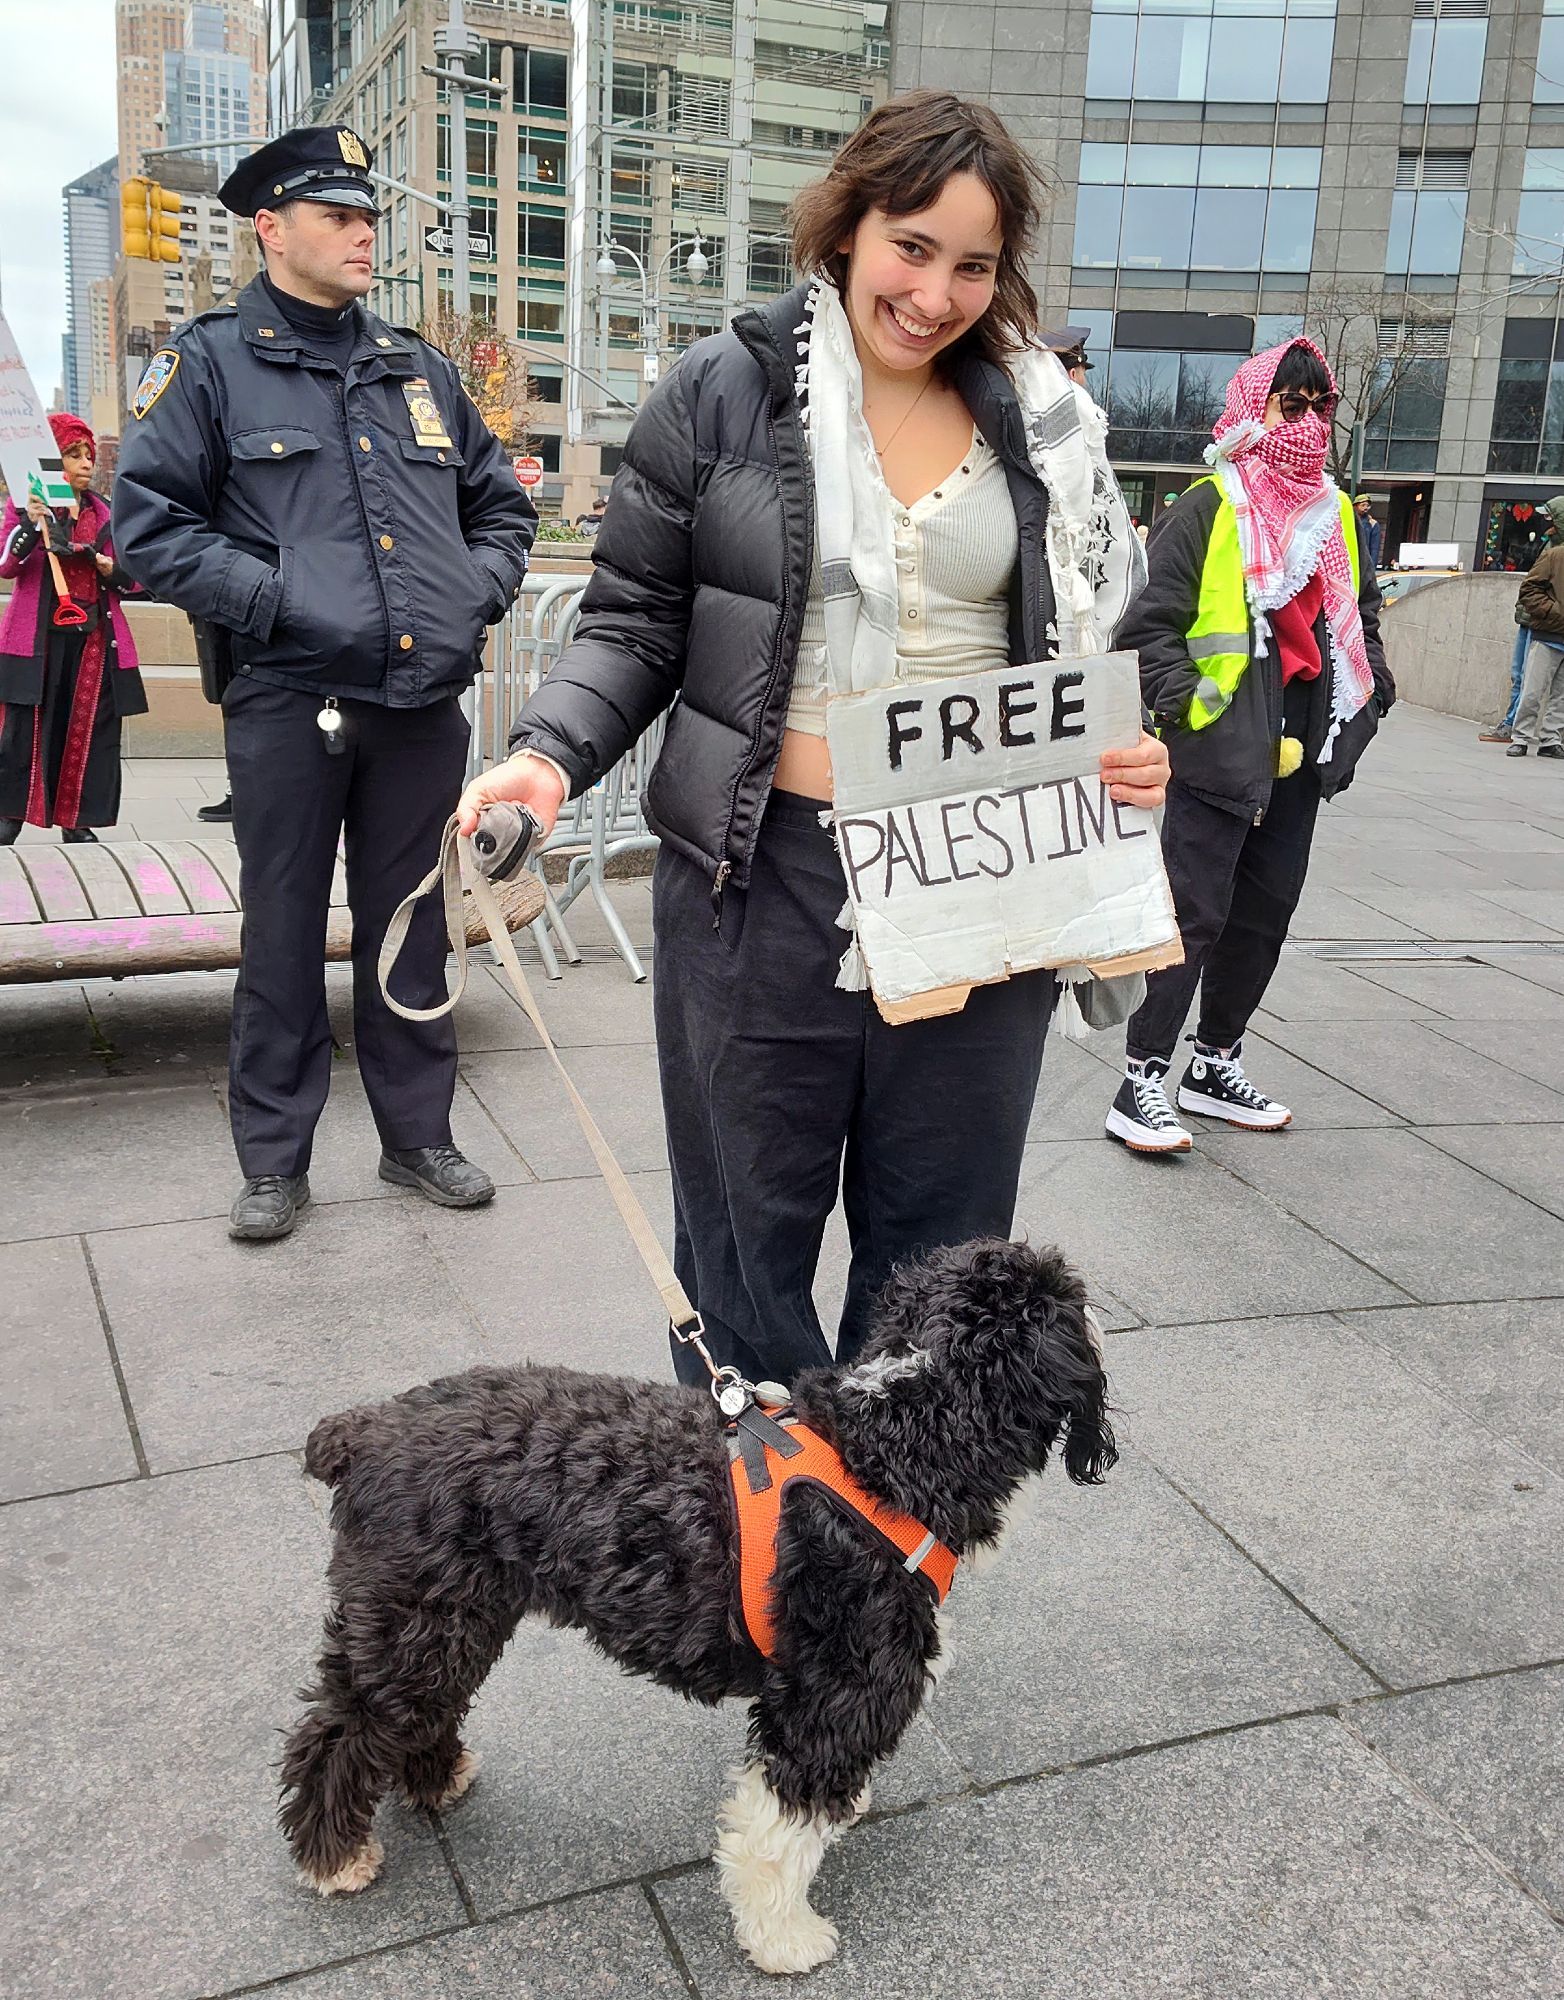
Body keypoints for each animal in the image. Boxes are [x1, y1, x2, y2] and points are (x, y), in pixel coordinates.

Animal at [282, 1232, 1112, 1968]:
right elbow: (778, 1832)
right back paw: (336, 1854)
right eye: (1066, 1295)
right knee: (341, 1726)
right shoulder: (832, 1695)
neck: (891, 1449)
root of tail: (365, 1427)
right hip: (415, 1618)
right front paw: (784, 1939)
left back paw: (432, 1778)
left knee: (413, 1709)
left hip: (455, 1616)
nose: (1096, 1301)